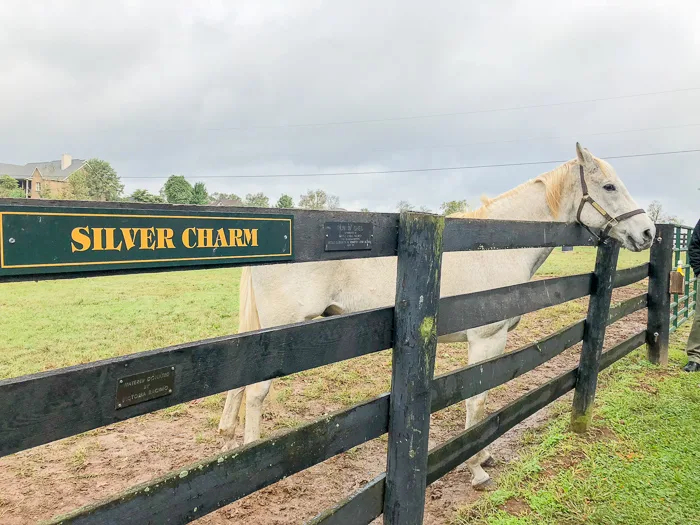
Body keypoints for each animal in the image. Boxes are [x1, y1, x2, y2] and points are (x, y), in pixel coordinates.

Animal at [216, 143, 652, 488]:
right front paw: (476, 468)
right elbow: (477, 399)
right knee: (256, 392)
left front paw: (484, 456)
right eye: (609, 187)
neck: (494, 247)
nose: (647, 232)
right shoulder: (486, 340)